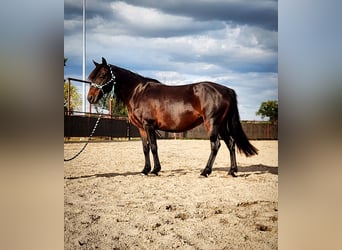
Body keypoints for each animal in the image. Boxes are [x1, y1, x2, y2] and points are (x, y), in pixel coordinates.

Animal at [87, 57, 258, 177]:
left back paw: (205, 171)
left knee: (215, 145)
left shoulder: (149, 125)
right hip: (221, 125)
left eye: (103, 75)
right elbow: (145, 148)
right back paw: (232, 171)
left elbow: (154, 147)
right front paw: (145, 170)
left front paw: (155, 170)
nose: (90, 98)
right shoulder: (141, 128)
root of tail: (227, 90)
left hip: (212, 123)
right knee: (231, 144)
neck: (137, 92)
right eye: (91, 77)